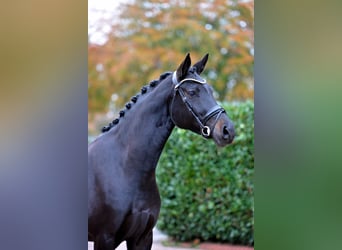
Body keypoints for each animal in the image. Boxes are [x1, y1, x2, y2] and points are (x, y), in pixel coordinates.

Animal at [88, 53, 235, 249]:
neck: (124, 168)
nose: (228, 130)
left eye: (211, 91)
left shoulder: (142, 238)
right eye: (192, 92)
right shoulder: (104, 238)